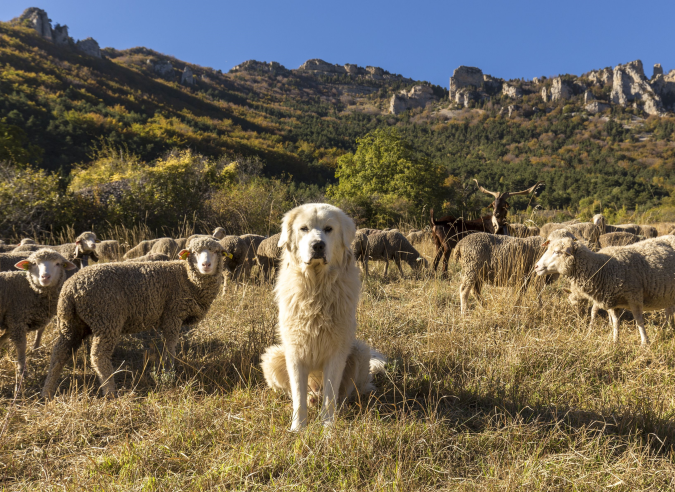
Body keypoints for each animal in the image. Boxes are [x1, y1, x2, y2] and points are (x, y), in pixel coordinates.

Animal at [0, 250, 76, 380]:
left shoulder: (14, 320)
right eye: (34, 263)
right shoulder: (16, 319)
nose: (45, 277)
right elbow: (21, 346)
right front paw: (22, 371)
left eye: (58, 264)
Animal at [42, 235, 227, 400]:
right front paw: (169, 373)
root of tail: (70, 289)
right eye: (193, 252)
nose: (206, 265)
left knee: (59, 353)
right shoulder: (172, 314)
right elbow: (170, 346)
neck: (186, 278)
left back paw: (48, 391)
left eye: (216, 251)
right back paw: (110, 391)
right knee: (98, 356)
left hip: (72, 324)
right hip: (106, 319)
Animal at [260, 202, 386, 428]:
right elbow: (298, 396)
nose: (318, 245)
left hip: (359, 353)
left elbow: (330, 396)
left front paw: (327, 428)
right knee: (297, 393)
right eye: (304, 229)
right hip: (272, 357)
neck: (317, 286)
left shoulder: (336, 353)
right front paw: (298, 428)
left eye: (329, 229)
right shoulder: (294, 353)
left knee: (343, 394)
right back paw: (311, 399)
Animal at [540, 235, 675, 344]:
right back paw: (668, 327)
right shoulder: (612, 300)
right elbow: (615, 322)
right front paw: (615, 341)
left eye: (557, 252)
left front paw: (645, 342)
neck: (603, 268)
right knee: (668, 310)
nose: (537, 266)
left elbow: (639, 320)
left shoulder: (634, 296)